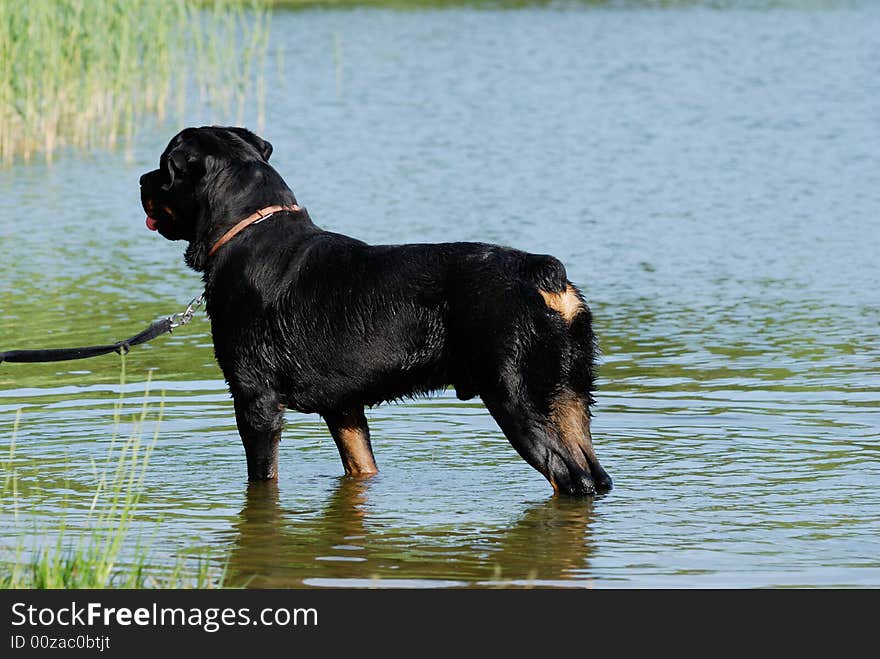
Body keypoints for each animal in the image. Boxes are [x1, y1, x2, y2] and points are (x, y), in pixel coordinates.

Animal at [143, 126, 612, 496]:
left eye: (164, 169)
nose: (141, 179)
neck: (245, 231)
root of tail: (543, 272)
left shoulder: (255, 400)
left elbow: (263, 476)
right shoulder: (344, 407)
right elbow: (361, 465)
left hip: (517, 396)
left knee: (570, 478)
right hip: (569, 397)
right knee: (596, 475)